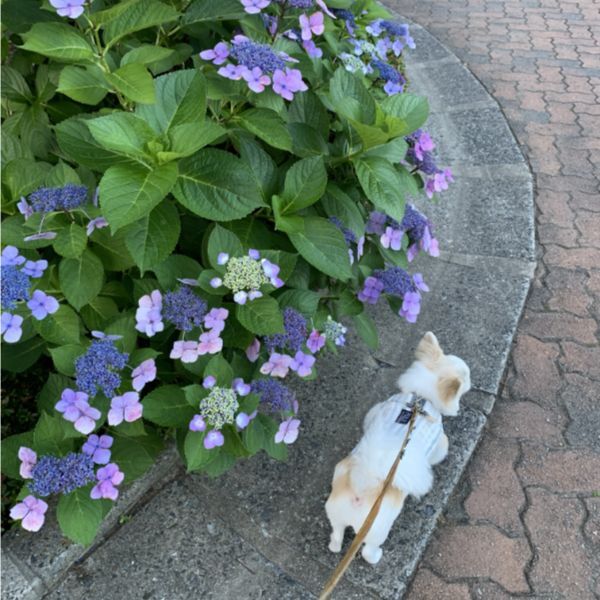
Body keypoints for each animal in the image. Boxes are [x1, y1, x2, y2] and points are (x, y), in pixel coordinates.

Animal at [326, 330, 472, 564]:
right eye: (466, 381)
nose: (471, 379)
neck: (422, 398)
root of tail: (361, 487)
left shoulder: (377, 410)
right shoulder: (439, 440)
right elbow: (442, 447)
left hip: (335, 514)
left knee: (337, 535)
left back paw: (334, 544)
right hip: (377, 530)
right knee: (368, 550)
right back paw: (377, 556)